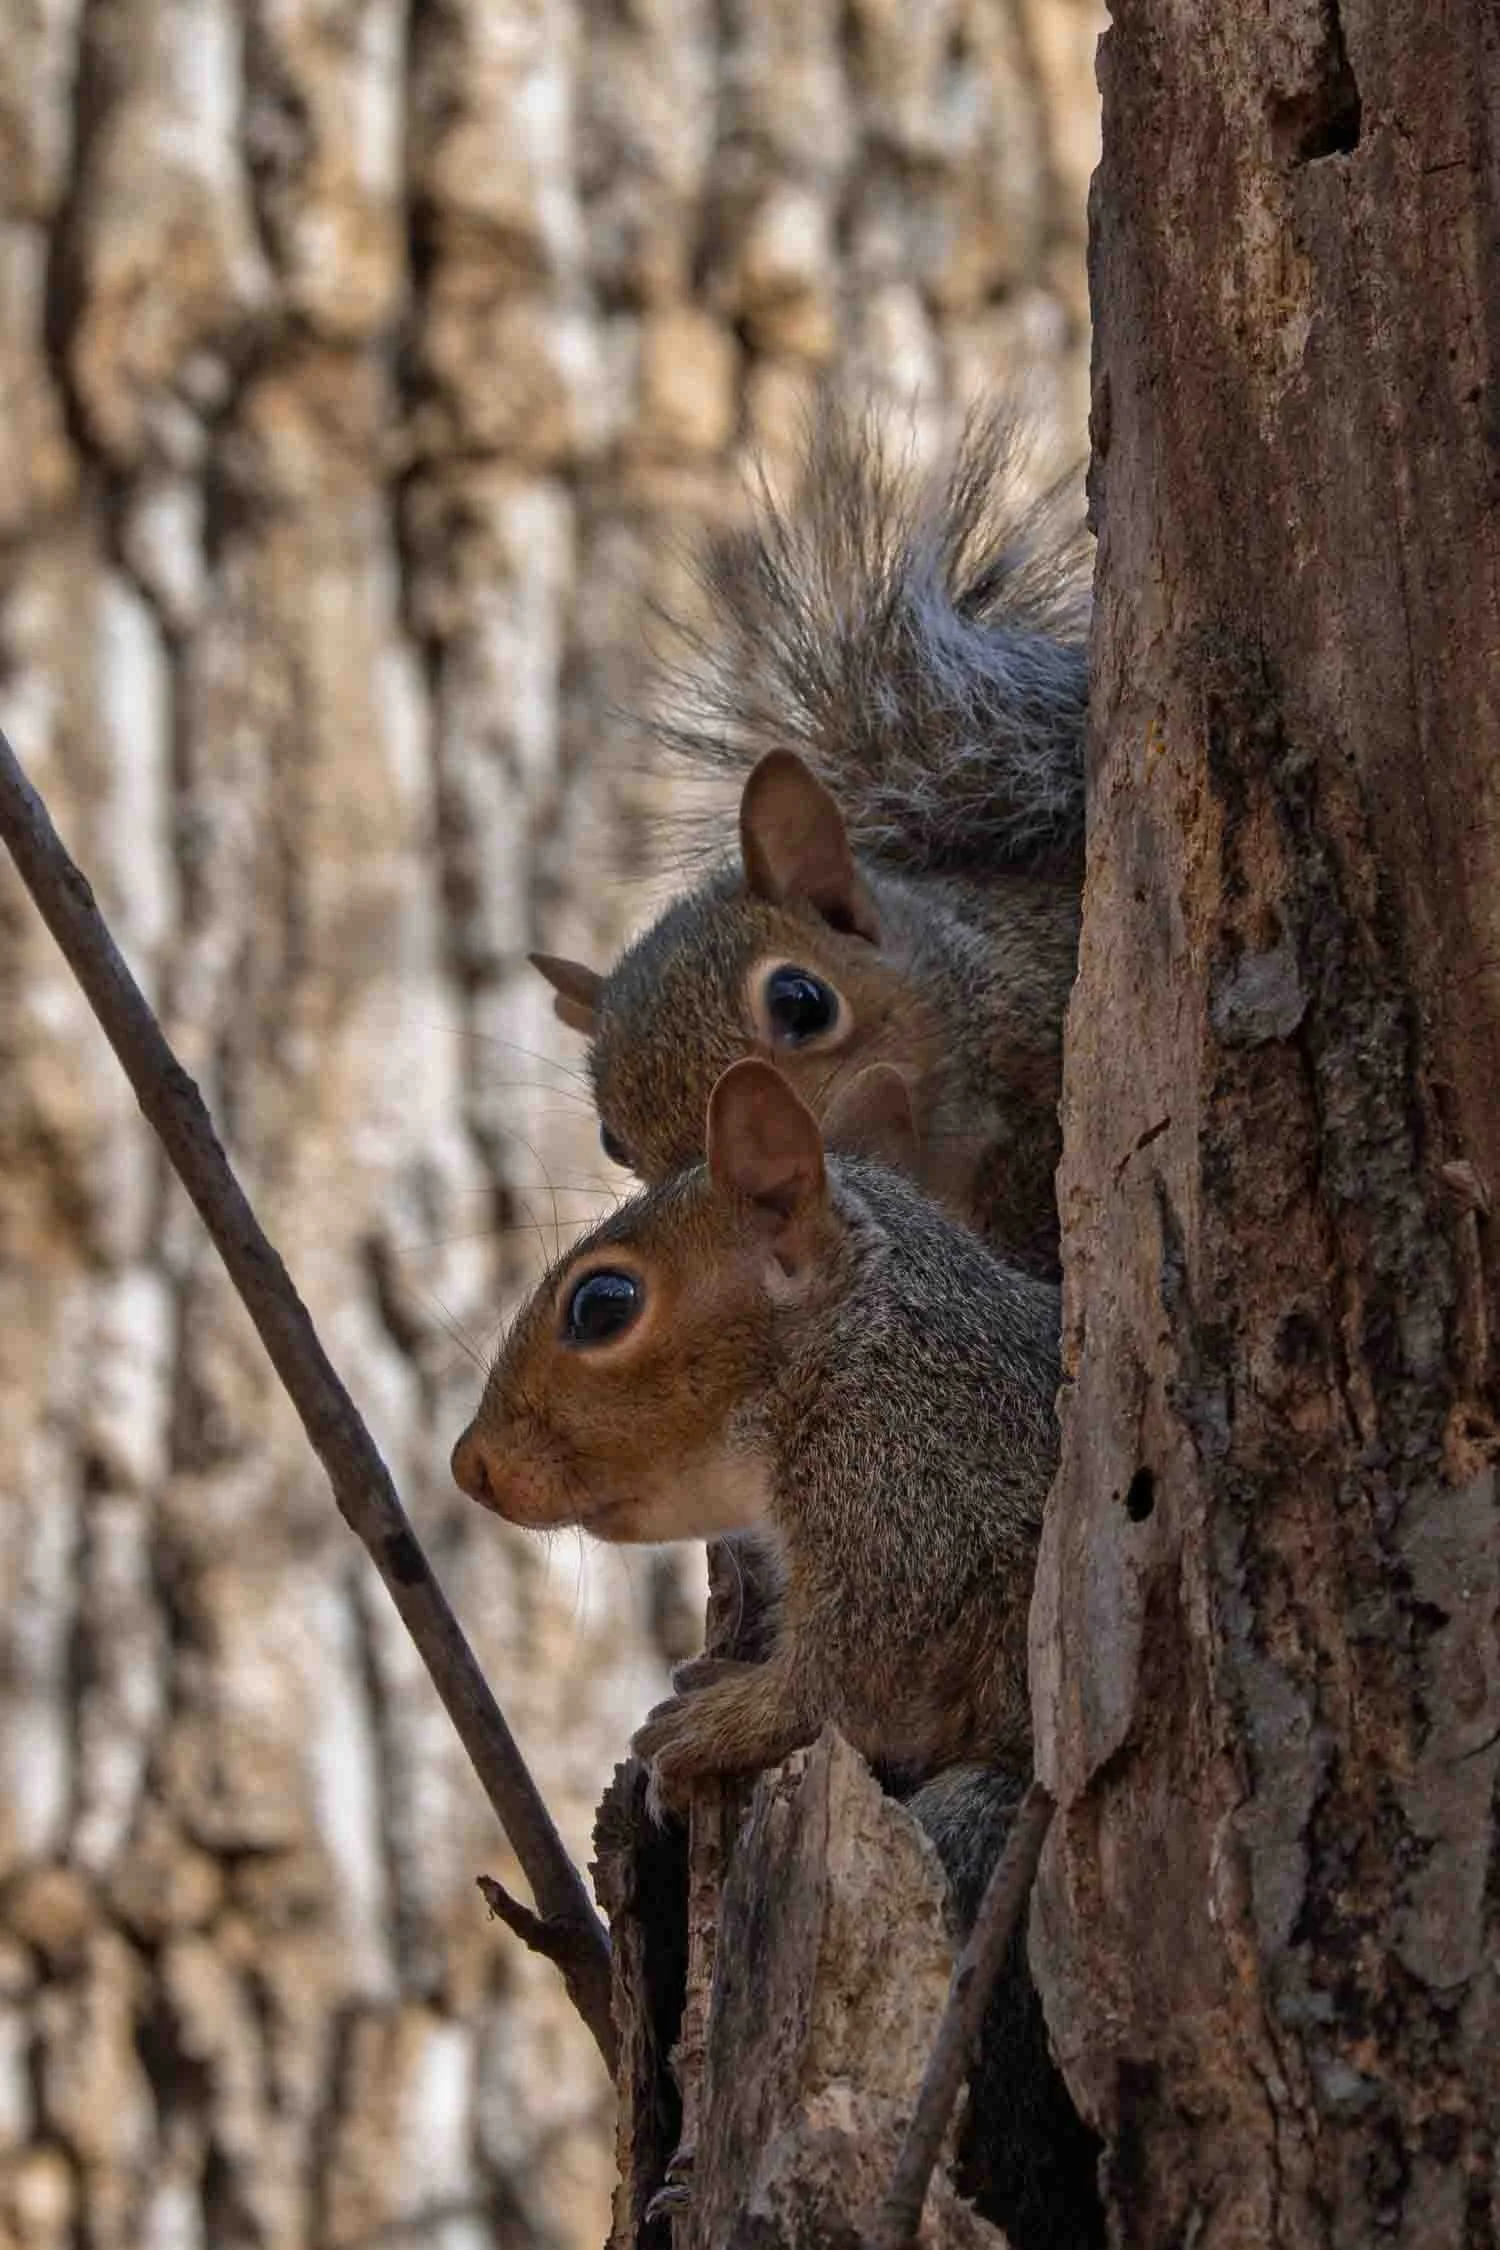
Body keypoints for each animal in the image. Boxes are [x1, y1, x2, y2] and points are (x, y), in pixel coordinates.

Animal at [451, 1057, 1103, 2248]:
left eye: (603, 1305)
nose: (468, 1468)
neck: (857, 1337)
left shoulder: (910, 1502)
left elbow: (848, 1686)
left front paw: (704, 1726)